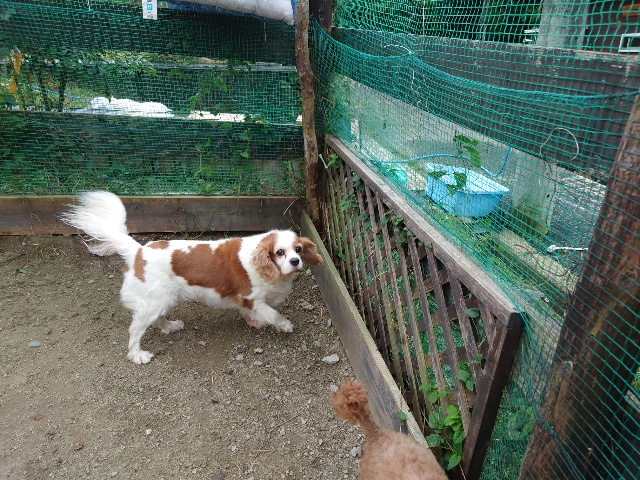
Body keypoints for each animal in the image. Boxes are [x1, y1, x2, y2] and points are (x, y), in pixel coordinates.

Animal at [61, 191, 323, 364]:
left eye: (298, 249)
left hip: (163, 299)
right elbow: (273, 313)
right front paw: (283, 325)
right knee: (135, 329)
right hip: (154, 302)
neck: (265, 265)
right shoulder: (252, 298)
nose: (295, 262)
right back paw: (137, 355)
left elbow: (255, 314)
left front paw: (253, 321)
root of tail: (138, 251)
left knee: (159, 319)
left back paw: (170, 326)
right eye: (280, 252)